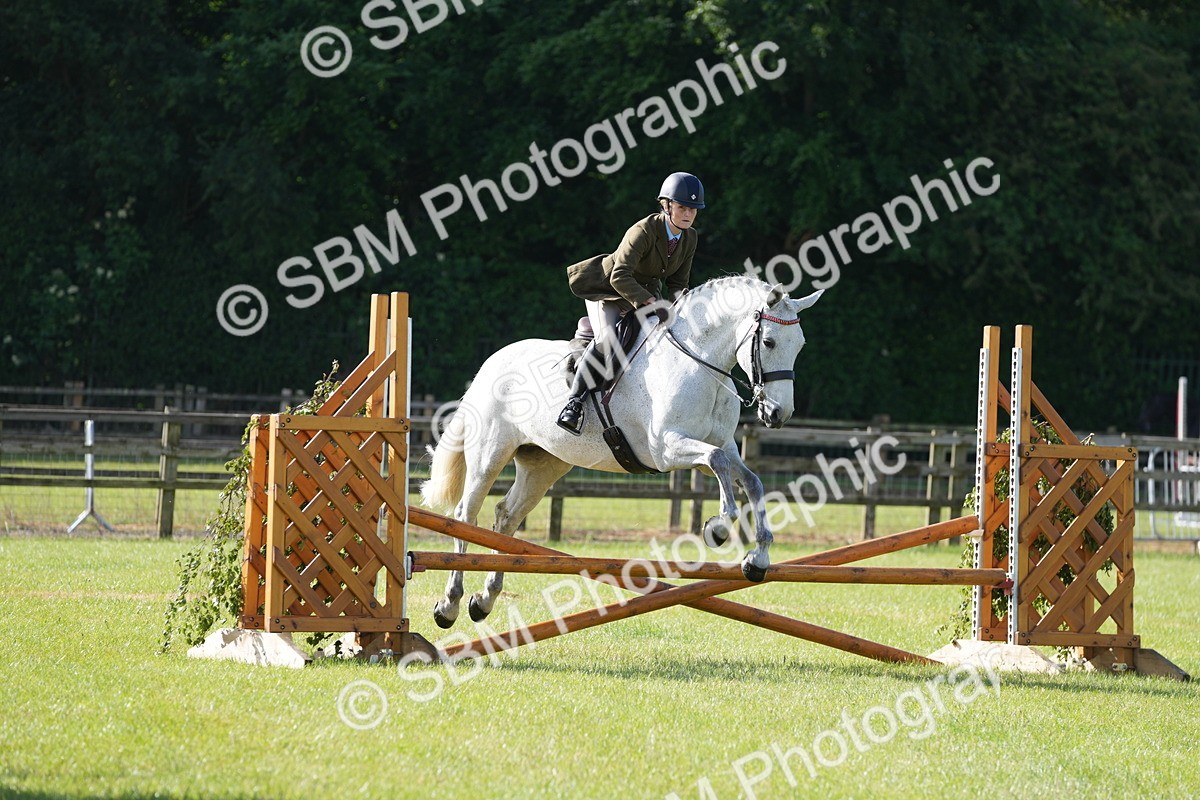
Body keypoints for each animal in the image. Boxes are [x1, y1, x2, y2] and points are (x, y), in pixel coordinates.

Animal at [420, 275, 823, 628]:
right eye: (768, 342)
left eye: (801, 344)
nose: (778, 413)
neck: (698, 365)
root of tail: (493, 361)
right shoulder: (666, 449)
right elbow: (718, 461)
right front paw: (719, 527)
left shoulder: (720, 444)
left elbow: (750, 480)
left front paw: (758, 558)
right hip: (490, 455)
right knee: (465, 515)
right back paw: (450, 605)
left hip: (543, 463)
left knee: (506, 518)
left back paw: (484, 600)